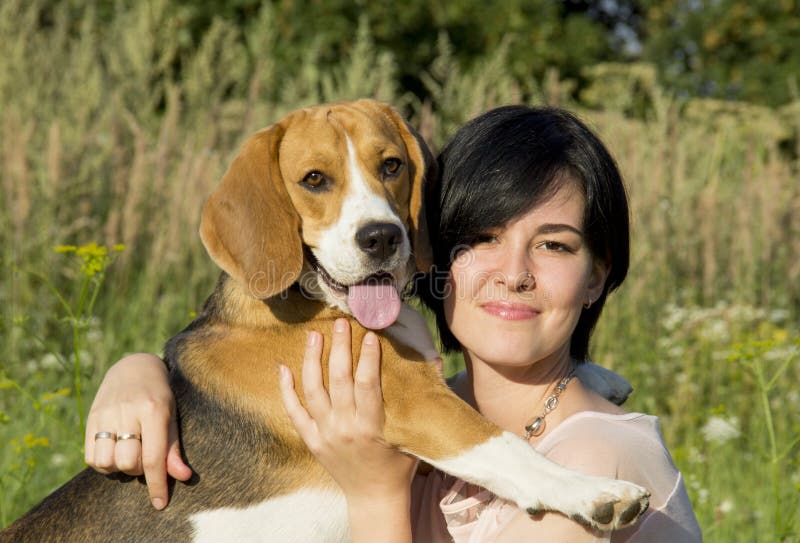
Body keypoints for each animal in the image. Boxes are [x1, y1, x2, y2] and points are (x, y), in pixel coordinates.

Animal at [1, 100, 648, 540]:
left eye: (391, 166)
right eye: (315, 179)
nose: (381, 237)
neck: (308, 303)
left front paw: (601, 376)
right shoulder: (412, 401)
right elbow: (502, 444)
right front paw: (594, 492)